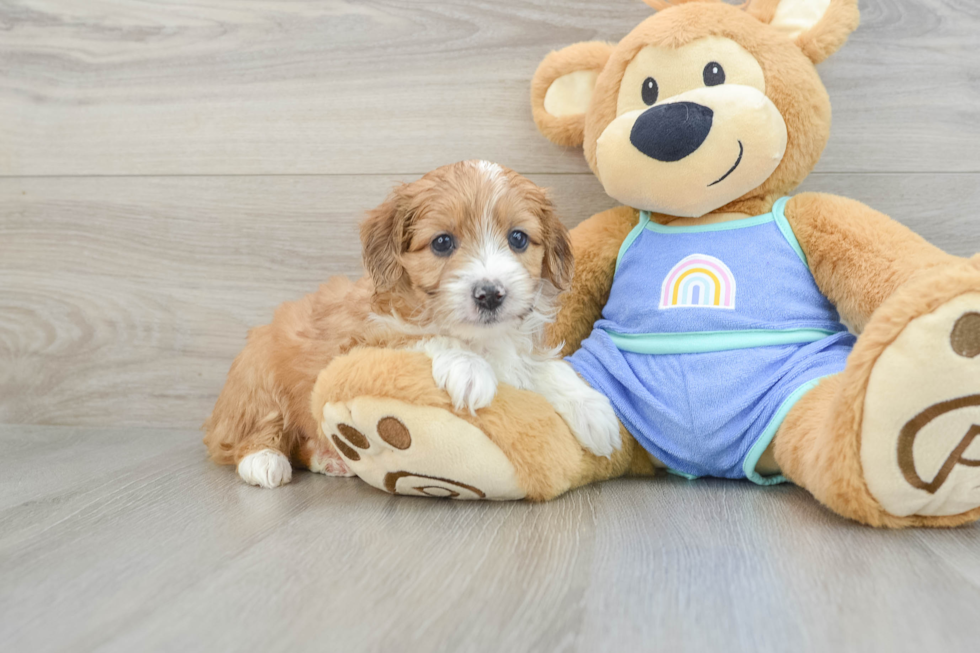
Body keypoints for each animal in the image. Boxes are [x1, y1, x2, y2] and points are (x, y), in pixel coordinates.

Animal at [204, 162, 620, 488]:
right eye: (442, 243)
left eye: (518, 238)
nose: (490, 294)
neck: (480, 339)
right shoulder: (360, 345)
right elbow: (425, 340)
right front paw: (469, 369)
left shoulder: (519, 348)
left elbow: (544, 367)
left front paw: (592, 409)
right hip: (257, 376)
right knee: (251, 432)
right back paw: (264, 460)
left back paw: (330, 457)